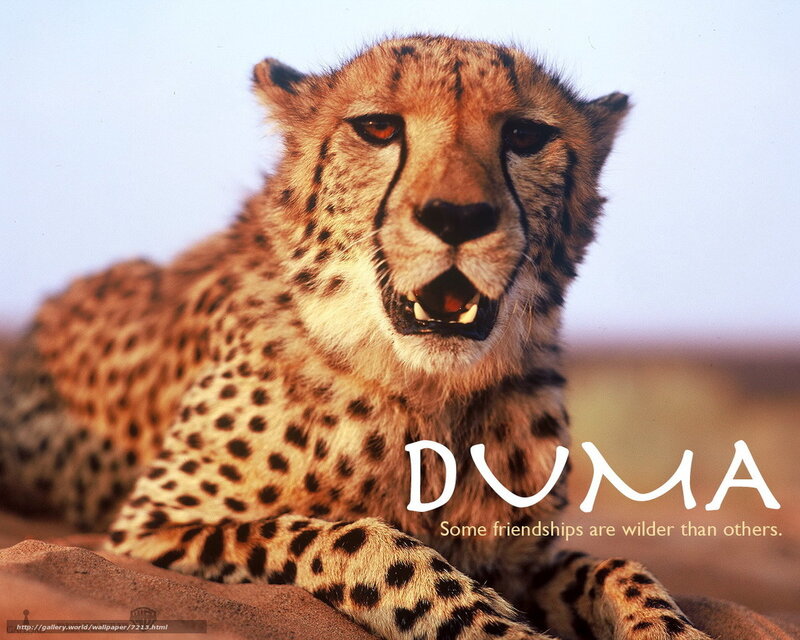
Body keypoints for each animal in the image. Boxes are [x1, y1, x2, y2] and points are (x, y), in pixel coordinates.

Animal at [0, 35, 717, 640]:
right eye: (377, 128)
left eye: (525, 134)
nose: (457, 217)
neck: (429, 388)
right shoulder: (151, 524)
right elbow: (366, 541)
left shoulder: (515, 558)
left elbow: (623, 569)